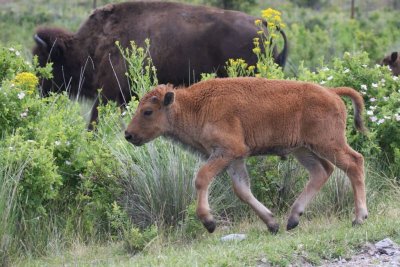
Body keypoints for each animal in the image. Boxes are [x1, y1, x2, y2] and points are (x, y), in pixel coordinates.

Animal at [32, 1, 288, 127]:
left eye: (45, 60)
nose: (38, 90)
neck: (91, 44)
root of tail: (264, 25)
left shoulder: (108, 94)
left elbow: (94, 121)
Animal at [125, 77, 368, 234]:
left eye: (148, 111)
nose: (128, 134)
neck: (196, 106)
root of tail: (332, 93)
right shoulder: (235, 159)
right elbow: (242, 190)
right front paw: (272, 224)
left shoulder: (227, 151)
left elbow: (202, 178)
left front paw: (209, 223)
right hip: (303, 149)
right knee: (322, 171)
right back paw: (292, 220)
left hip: (328, 144)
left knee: (354, 163)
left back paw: (359, 218)